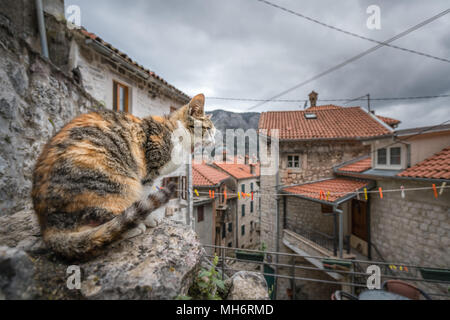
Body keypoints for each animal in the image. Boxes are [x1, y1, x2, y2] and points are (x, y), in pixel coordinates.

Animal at [31, 92, 214, 260]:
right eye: (209, 129)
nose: (214, 139)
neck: (176, 132)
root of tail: (47, 224)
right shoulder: (148, 170)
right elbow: (143, 195)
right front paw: (148, 218)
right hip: (114, 180)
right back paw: (130, 227)